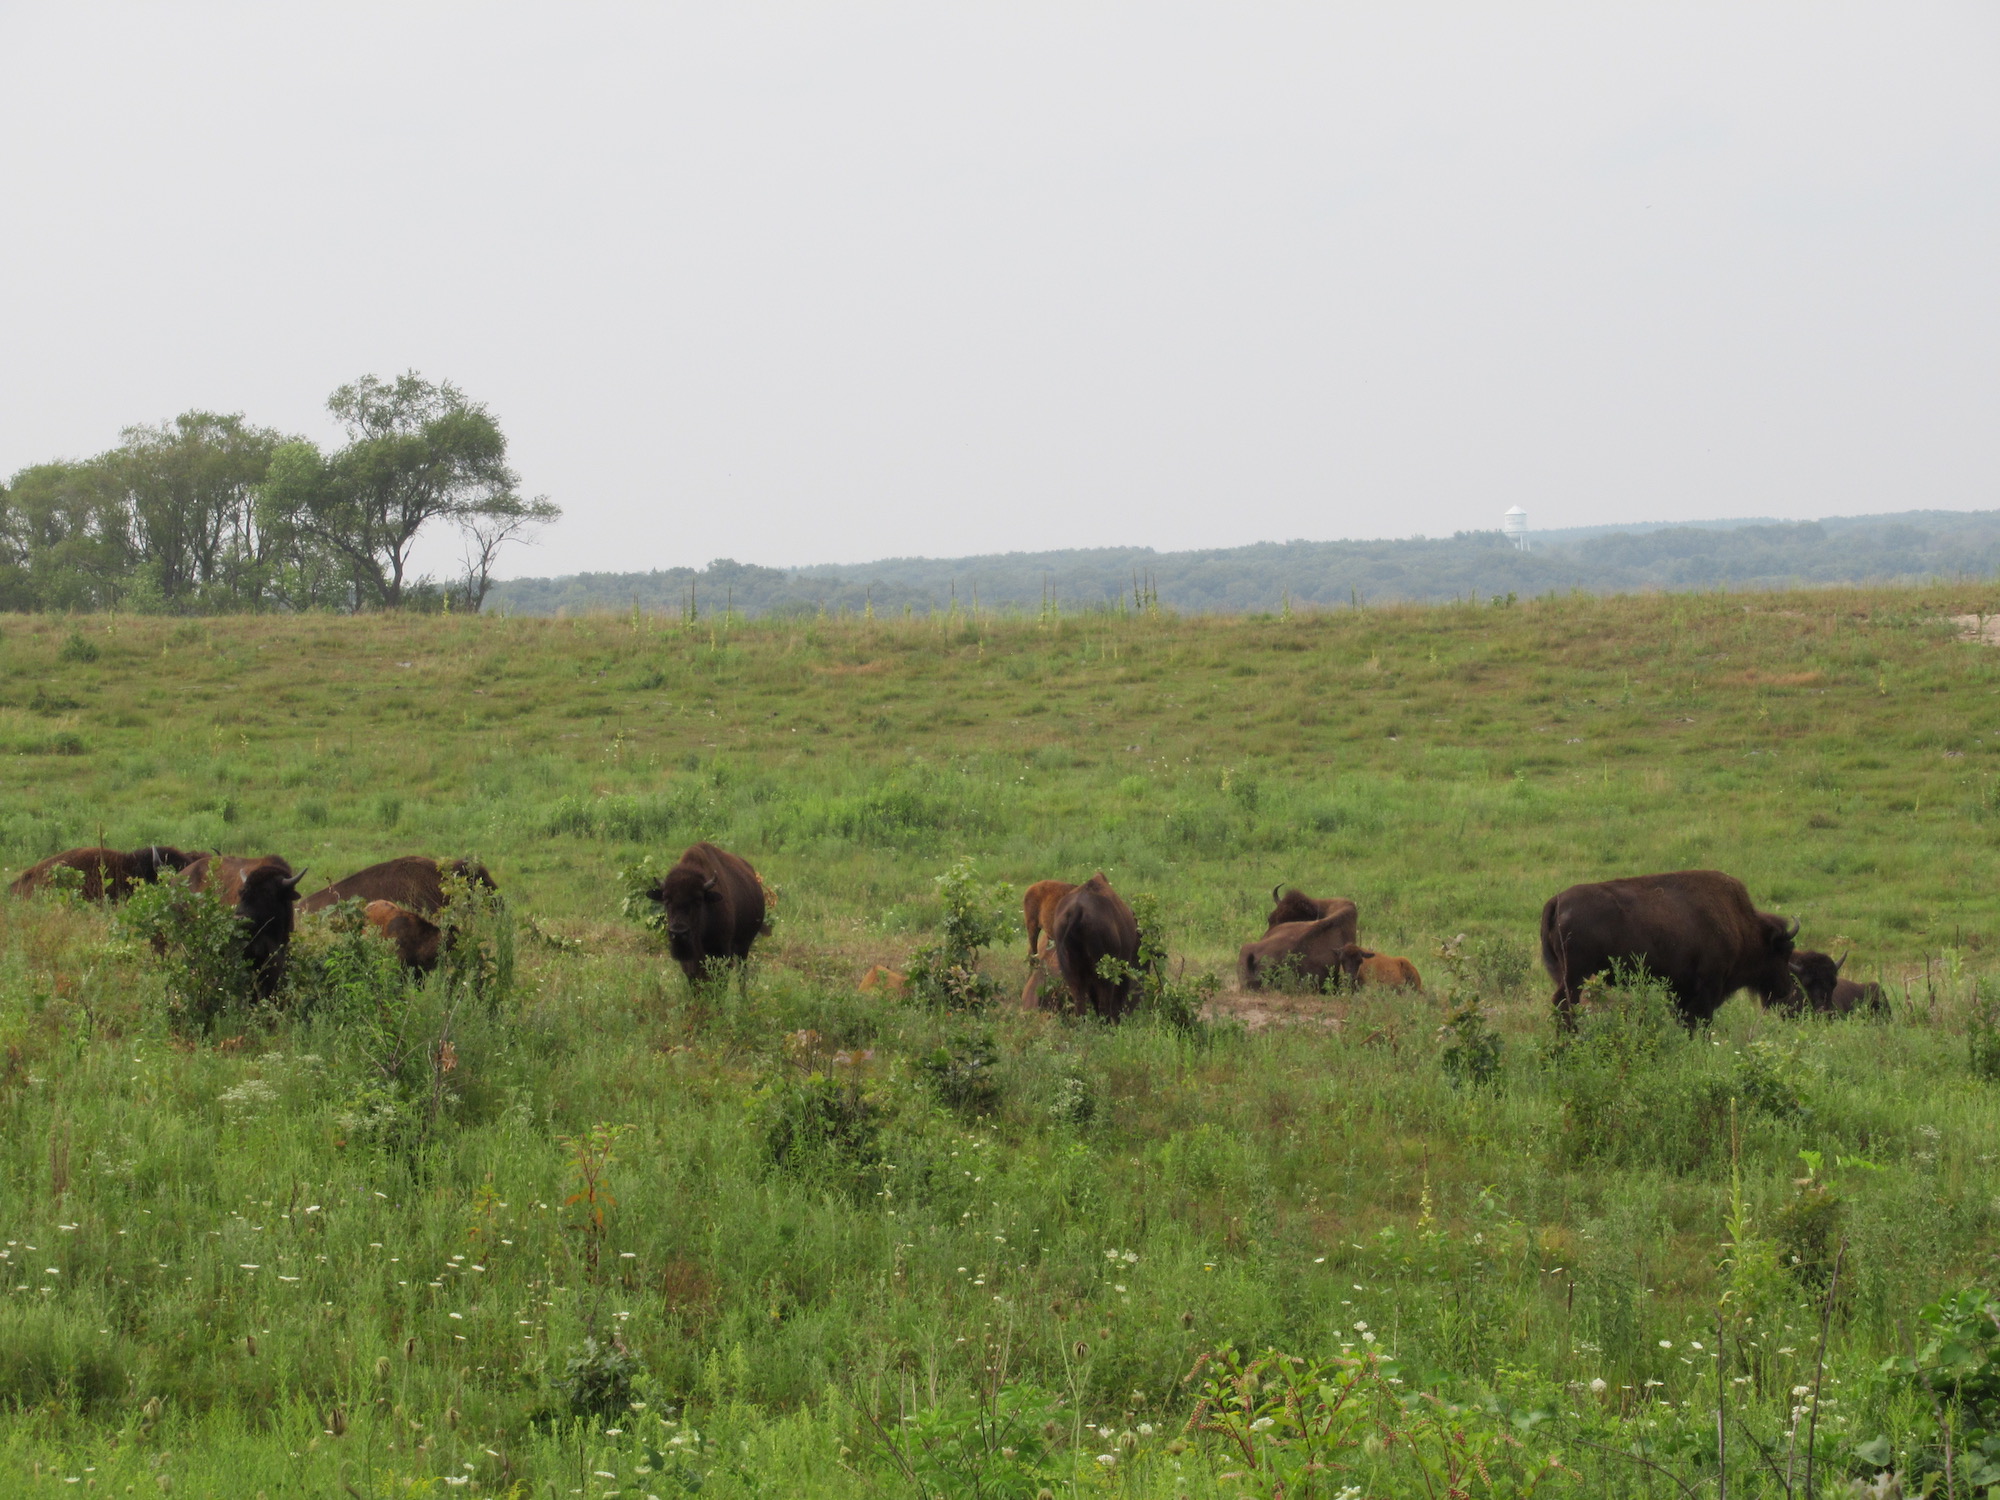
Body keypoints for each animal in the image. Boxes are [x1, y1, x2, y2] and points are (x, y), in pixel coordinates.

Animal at [640, 842, 769, 982]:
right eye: (666, 900)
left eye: (698, 900)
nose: (678, 933)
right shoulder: (689, 963)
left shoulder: (722, 953)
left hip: (744, 947)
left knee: (742, 974)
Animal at [1540, 869, 1799, 1026]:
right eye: (1783, 952)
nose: (1786, 990)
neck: (1741, 924)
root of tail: (1556, 901)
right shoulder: (1707, 987)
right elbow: (1701, 1022)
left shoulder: (1680, 990)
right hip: (1576, 975)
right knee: (1565, 1004)